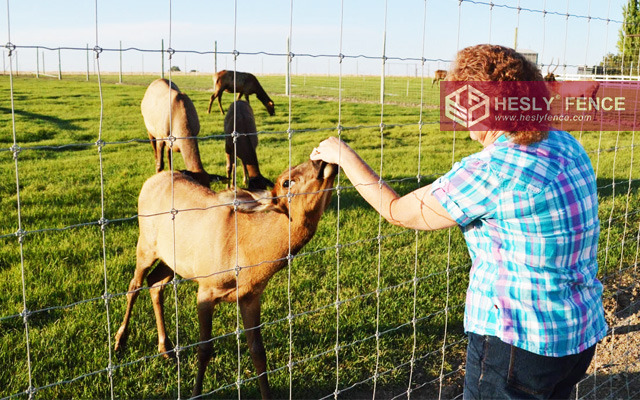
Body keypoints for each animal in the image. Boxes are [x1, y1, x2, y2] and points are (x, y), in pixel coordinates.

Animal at [113, 159, 340, 396]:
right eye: (287, 181)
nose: (321, 161)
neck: (248, 260)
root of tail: (150, 180)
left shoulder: (251, 296)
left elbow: (258, 352)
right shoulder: (206, 289)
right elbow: (205, 349)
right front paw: (196, 393)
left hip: (172, 260)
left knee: (155, 283)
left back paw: (165, 348)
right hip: (146, 243)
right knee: (134, 285)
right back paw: (120, 341)